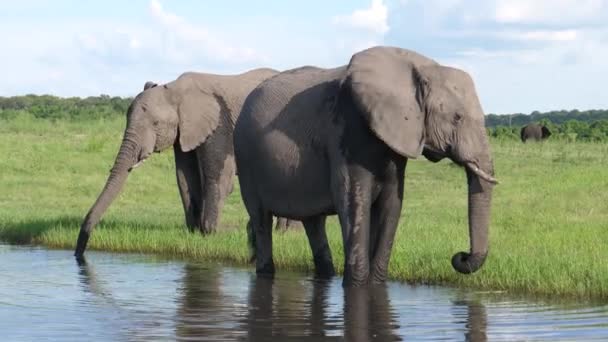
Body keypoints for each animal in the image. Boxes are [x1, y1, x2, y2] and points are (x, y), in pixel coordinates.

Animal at [73, 68, 300, 258]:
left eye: (156, 123)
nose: (78, 254)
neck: (175, 89)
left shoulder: (219, 124)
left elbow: (219, 177)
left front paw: (209, 234)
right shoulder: (184, 131)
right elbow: (184, 178)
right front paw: (193, 233)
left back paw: (290, 233)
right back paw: (283, 232)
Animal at [234, 45, 498, 286]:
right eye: (457, 118)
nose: (460, 256)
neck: (420, 67)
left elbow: (392, 204)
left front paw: (376, 284)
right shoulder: (347, 131)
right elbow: (354, 203)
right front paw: (357, 285)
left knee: (314, 223)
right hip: (245, 158)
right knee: (260, 219)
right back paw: (266, 272)